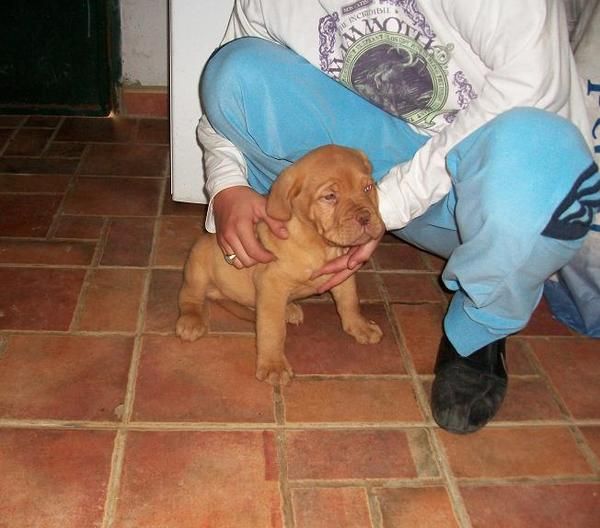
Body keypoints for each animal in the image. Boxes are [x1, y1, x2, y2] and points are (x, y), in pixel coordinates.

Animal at [176, 146, 386, 386]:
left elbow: (349, 302)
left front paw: (360, 326)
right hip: (198, 265)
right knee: (189, 297)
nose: (365, 217)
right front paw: (273, 365)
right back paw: (190, 321)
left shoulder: (344, 273)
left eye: (368, 187)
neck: (320, 245)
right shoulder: (271, 285)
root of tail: (218, 294)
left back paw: (289, 309)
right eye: (330, 196)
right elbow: (272, 330)